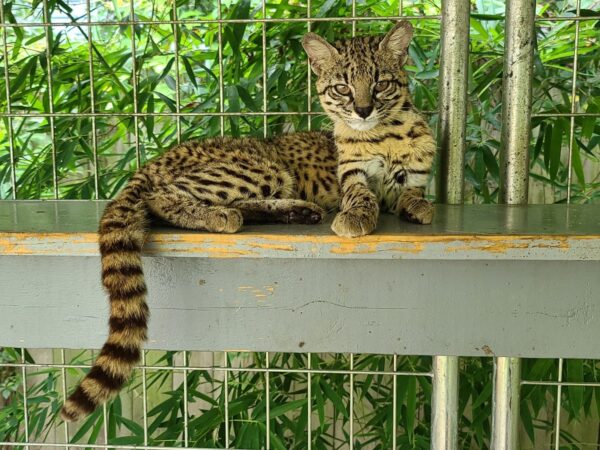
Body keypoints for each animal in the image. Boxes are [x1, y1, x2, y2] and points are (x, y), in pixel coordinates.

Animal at [62, 20, 436, 422]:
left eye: (380, 83)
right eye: (342, 88)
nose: (364, 110)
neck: (384, 134)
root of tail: (151, 163)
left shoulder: (409, 178)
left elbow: (412, 191)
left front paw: (419, 205)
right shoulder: (351, 175)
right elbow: (361, 194)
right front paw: (356, 215)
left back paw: (297, 210)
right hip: (259, 168)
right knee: (161, 197)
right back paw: (222, 215)